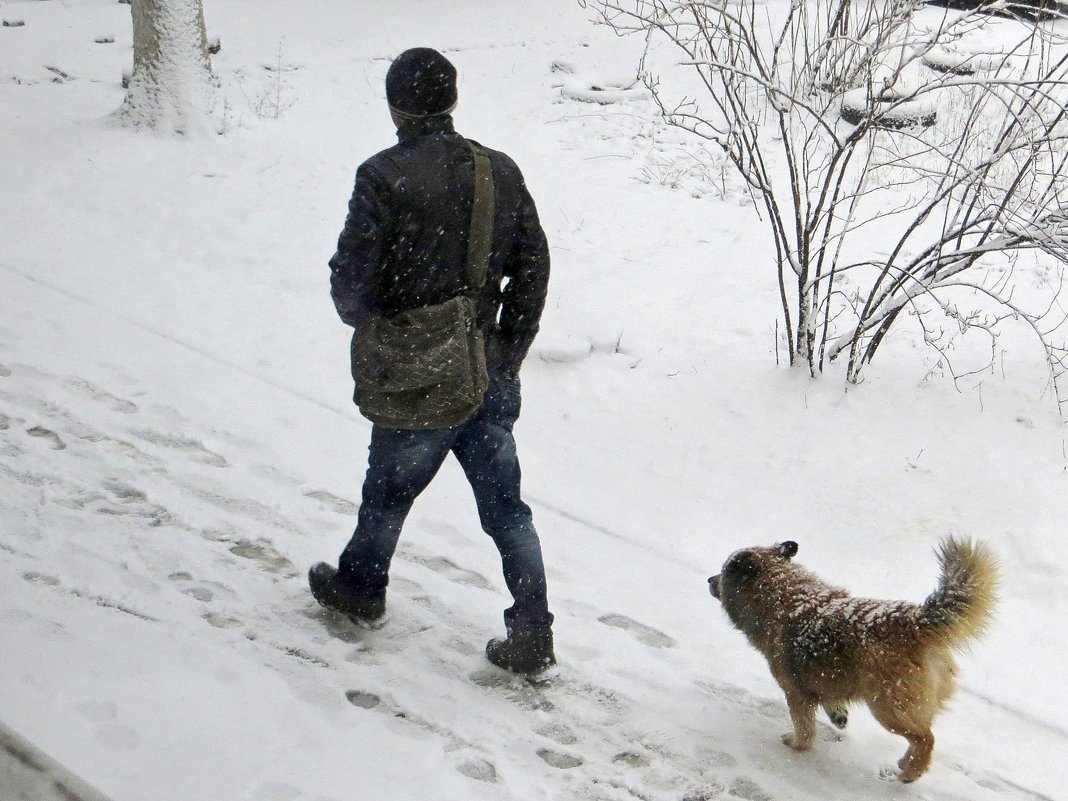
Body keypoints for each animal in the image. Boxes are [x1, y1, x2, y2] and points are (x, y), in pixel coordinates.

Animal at [709, 536, 999, 781]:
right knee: (922, 735)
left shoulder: (795, 691)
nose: (710, 580)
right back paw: (906, 763)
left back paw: (911, 772)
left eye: (724, 571)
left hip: (888, 708)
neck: (784, 595)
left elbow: (805, 727)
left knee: (926, 738)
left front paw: (796, 744)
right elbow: (831, 702)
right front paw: (838, 716)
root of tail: (916, 622)